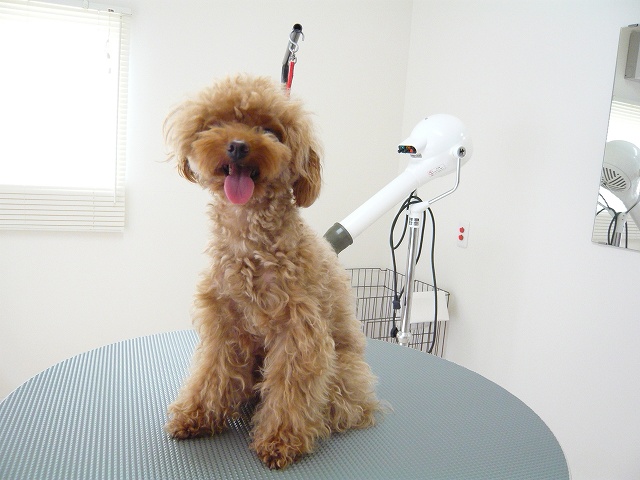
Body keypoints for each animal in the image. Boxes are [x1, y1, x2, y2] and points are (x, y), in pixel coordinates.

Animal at [163, 75, 380, 470]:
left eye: (269, 130)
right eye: (215, 123)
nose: (237, 146)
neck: (249, 240)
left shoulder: (299, 331)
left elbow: (290, 388)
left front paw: (280, 440)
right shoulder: (224, 323)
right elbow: (212, 372)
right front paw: (197, 415)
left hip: (341, 372)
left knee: (339, 408)